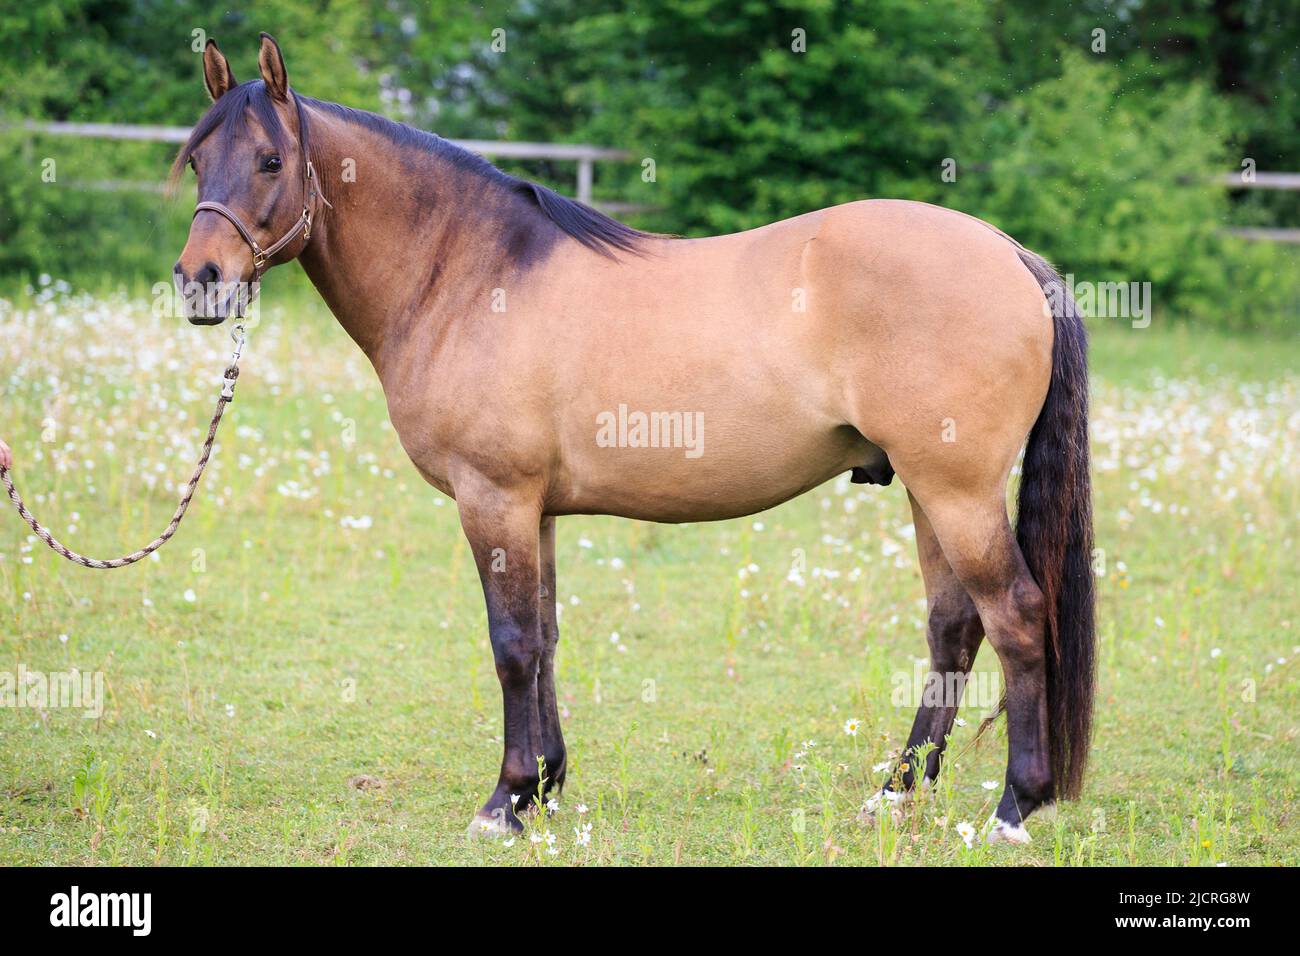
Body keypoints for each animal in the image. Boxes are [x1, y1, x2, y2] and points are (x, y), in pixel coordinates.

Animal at [172, 33, 1095, 843]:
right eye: (198, 160)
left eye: (271, 161)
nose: (200, 283)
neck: (472, 275)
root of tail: (1010, 256)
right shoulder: (535, 509)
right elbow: (543, 639)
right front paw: (544, 786)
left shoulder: (493, 500)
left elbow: (511, 647)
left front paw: (503, 802)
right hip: (929, 493)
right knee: (954, 626)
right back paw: (894, 796)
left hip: (956, 490)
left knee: (1015, 616)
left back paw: (1015, 806)